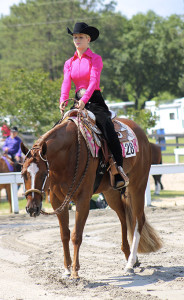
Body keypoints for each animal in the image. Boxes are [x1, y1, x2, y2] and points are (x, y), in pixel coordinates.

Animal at [20, 113, 162, 278]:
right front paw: (66, 270)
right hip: (110, 192)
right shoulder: (57, 200)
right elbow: (64, 234)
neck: (68, 153)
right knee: (123, 218)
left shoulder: (83, 199)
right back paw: (130, 258)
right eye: (23, 174)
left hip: (137, 185)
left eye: (43, 174)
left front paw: (75, 272)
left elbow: (76, 235)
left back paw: (130, 263)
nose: (32, 208)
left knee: (138, 220)